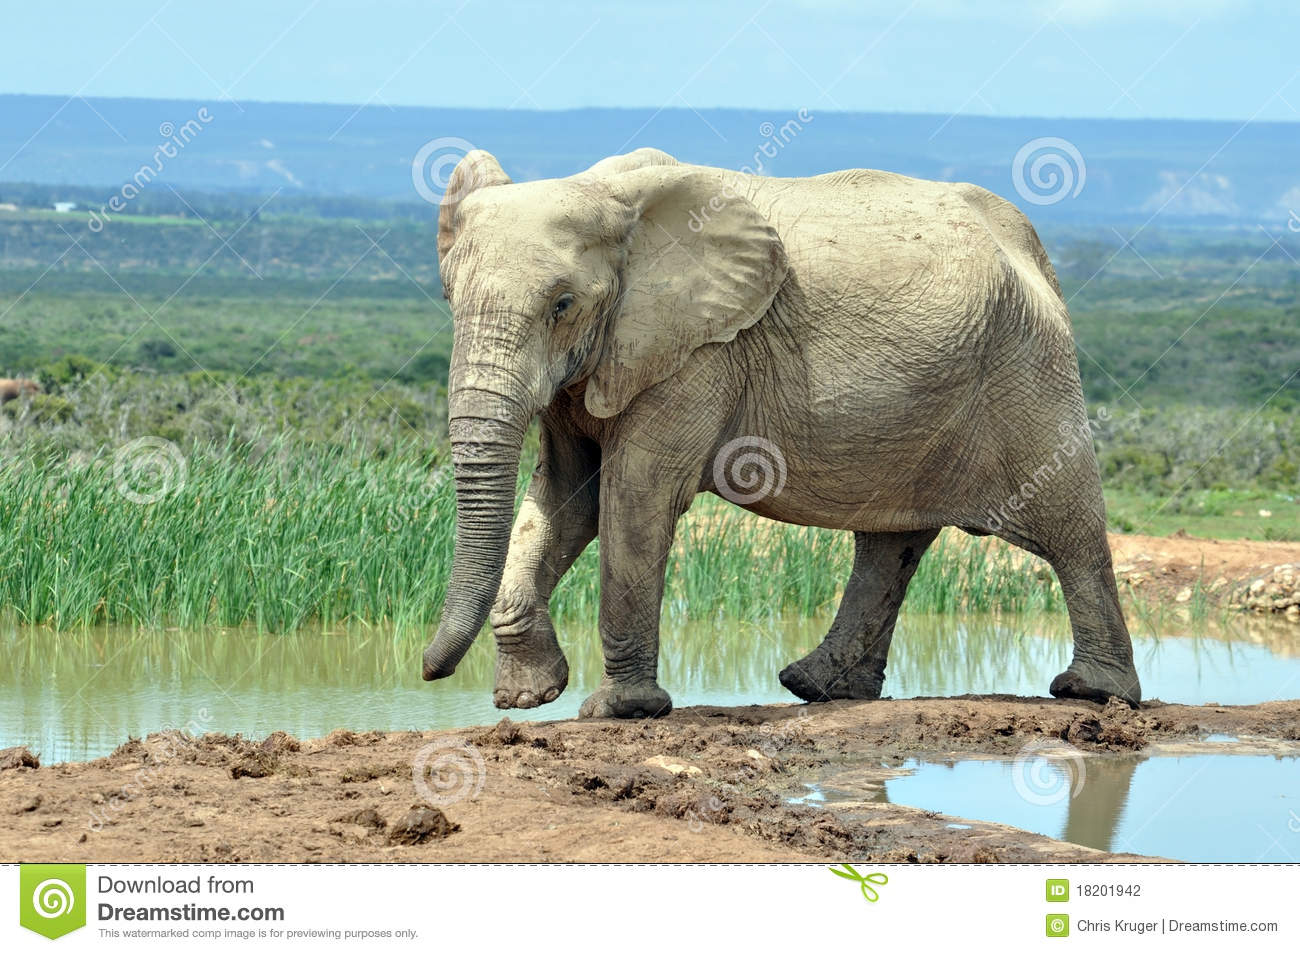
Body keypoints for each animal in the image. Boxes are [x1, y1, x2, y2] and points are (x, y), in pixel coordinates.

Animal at [423, 144, 1138, 717]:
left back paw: (1092, 694)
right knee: (892, 539)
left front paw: (618, 711)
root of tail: (1032, 245)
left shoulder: (699, 353)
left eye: (563, 305)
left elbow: (633, 498)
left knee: (1069, 523)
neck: (614, 199)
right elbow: (564, 499)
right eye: (448, 299)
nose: (429, 671)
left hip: (1029, 369)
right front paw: (528, 697)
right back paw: (821, 690)